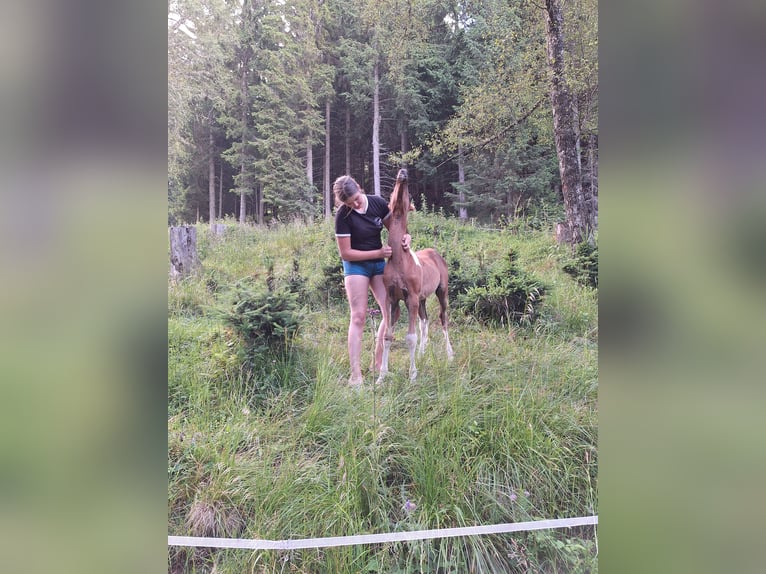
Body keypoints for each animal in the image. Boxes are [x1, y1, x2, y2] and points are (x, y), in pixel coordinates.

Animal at [378, 166, 456, 384]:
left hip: (441, 292)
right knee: (425, 321)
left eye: (408, 194)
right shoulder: (392, 299)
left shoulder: (410, 297)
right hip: (421, 298)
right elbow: (388, 336)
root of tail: (436, 254)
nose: (403, 172)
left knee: (443, 318)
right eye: (393, 193)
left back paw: (450, 355)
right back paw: (422, 354)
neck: (399, 261)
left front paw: (412, 376)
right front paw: (381, 377)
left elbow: (410, 337)